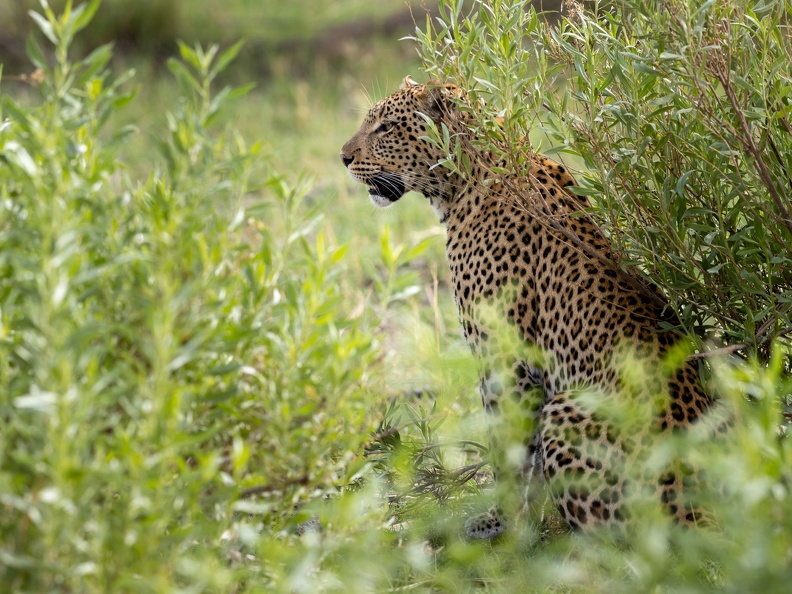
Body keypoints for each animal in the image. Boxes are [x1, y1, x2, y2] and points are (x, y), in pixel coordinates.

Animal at [340, 76, 720, 539]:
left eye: (385, 128)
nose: (343, 158)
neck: (460, 181)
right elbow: (528, 460)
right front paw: (525, 521)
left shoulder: (504, 358)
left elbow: (509, 449)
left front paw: (499, 523)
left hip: (569, 409)